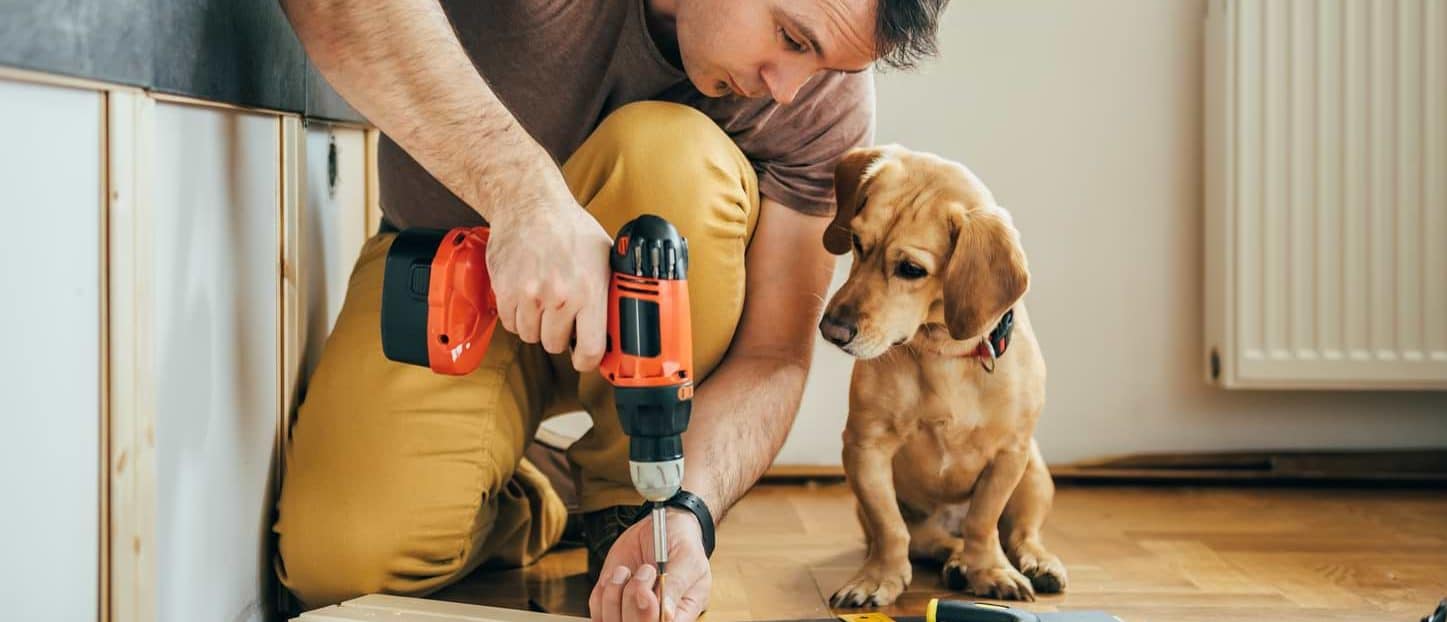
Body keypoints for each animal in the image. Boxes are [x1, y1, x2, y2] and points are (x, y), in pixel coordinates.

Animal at [821, 144, 1070, 601]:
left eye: (911, 269)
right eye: (857, 242)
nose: (832, 330)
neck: (943, 354)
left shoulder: (1009, 454)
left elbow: (983, 522)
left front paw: (990, 571)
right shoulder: (865, 448)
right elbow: (890, 529)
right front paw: (878, 576)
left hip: (1034, 474)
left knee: (1021, 533)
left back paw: (1034, 561)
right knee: (930, 540)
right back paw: (954, 560)